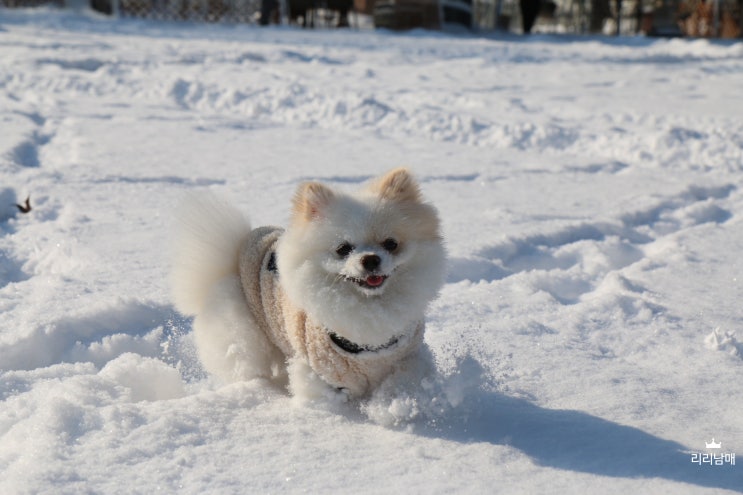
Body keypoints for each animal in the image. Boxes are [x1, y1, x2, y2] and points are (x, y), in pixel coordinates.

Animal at [171, 169, 444, 402]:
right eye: (343, 249)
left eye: (391, 244)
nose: (370, 259)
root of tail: (237, 249)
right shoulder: (321, 374)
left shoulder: (407, 355)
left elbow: (404, 380)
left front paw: (395, 404)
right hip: (245, 336)